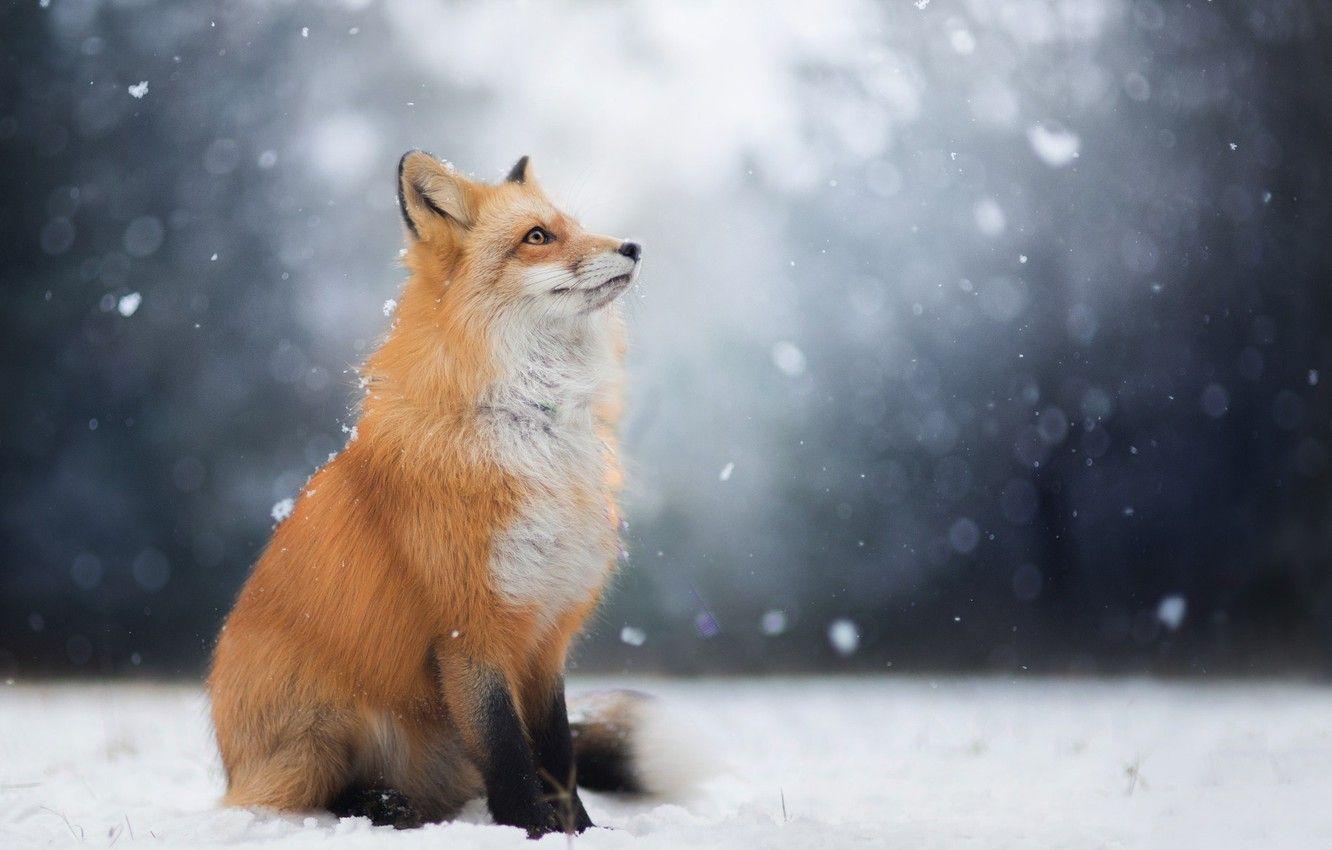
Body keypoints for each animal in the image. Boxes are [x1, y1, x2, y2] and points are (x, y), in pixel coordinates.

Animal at [207, 151, 672, 836]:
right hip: (320, 733)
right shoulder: (468, 630)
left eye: (575, 226)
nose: (632, 247)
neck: (533, 429)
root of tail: (231, 763)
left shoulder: (545, 634)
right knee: (310, 796)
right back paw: (378, 806)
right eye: (538, 237)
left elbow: (556, 753)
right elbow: (508, 753)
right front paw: (531, 830)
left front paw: (581, 832)